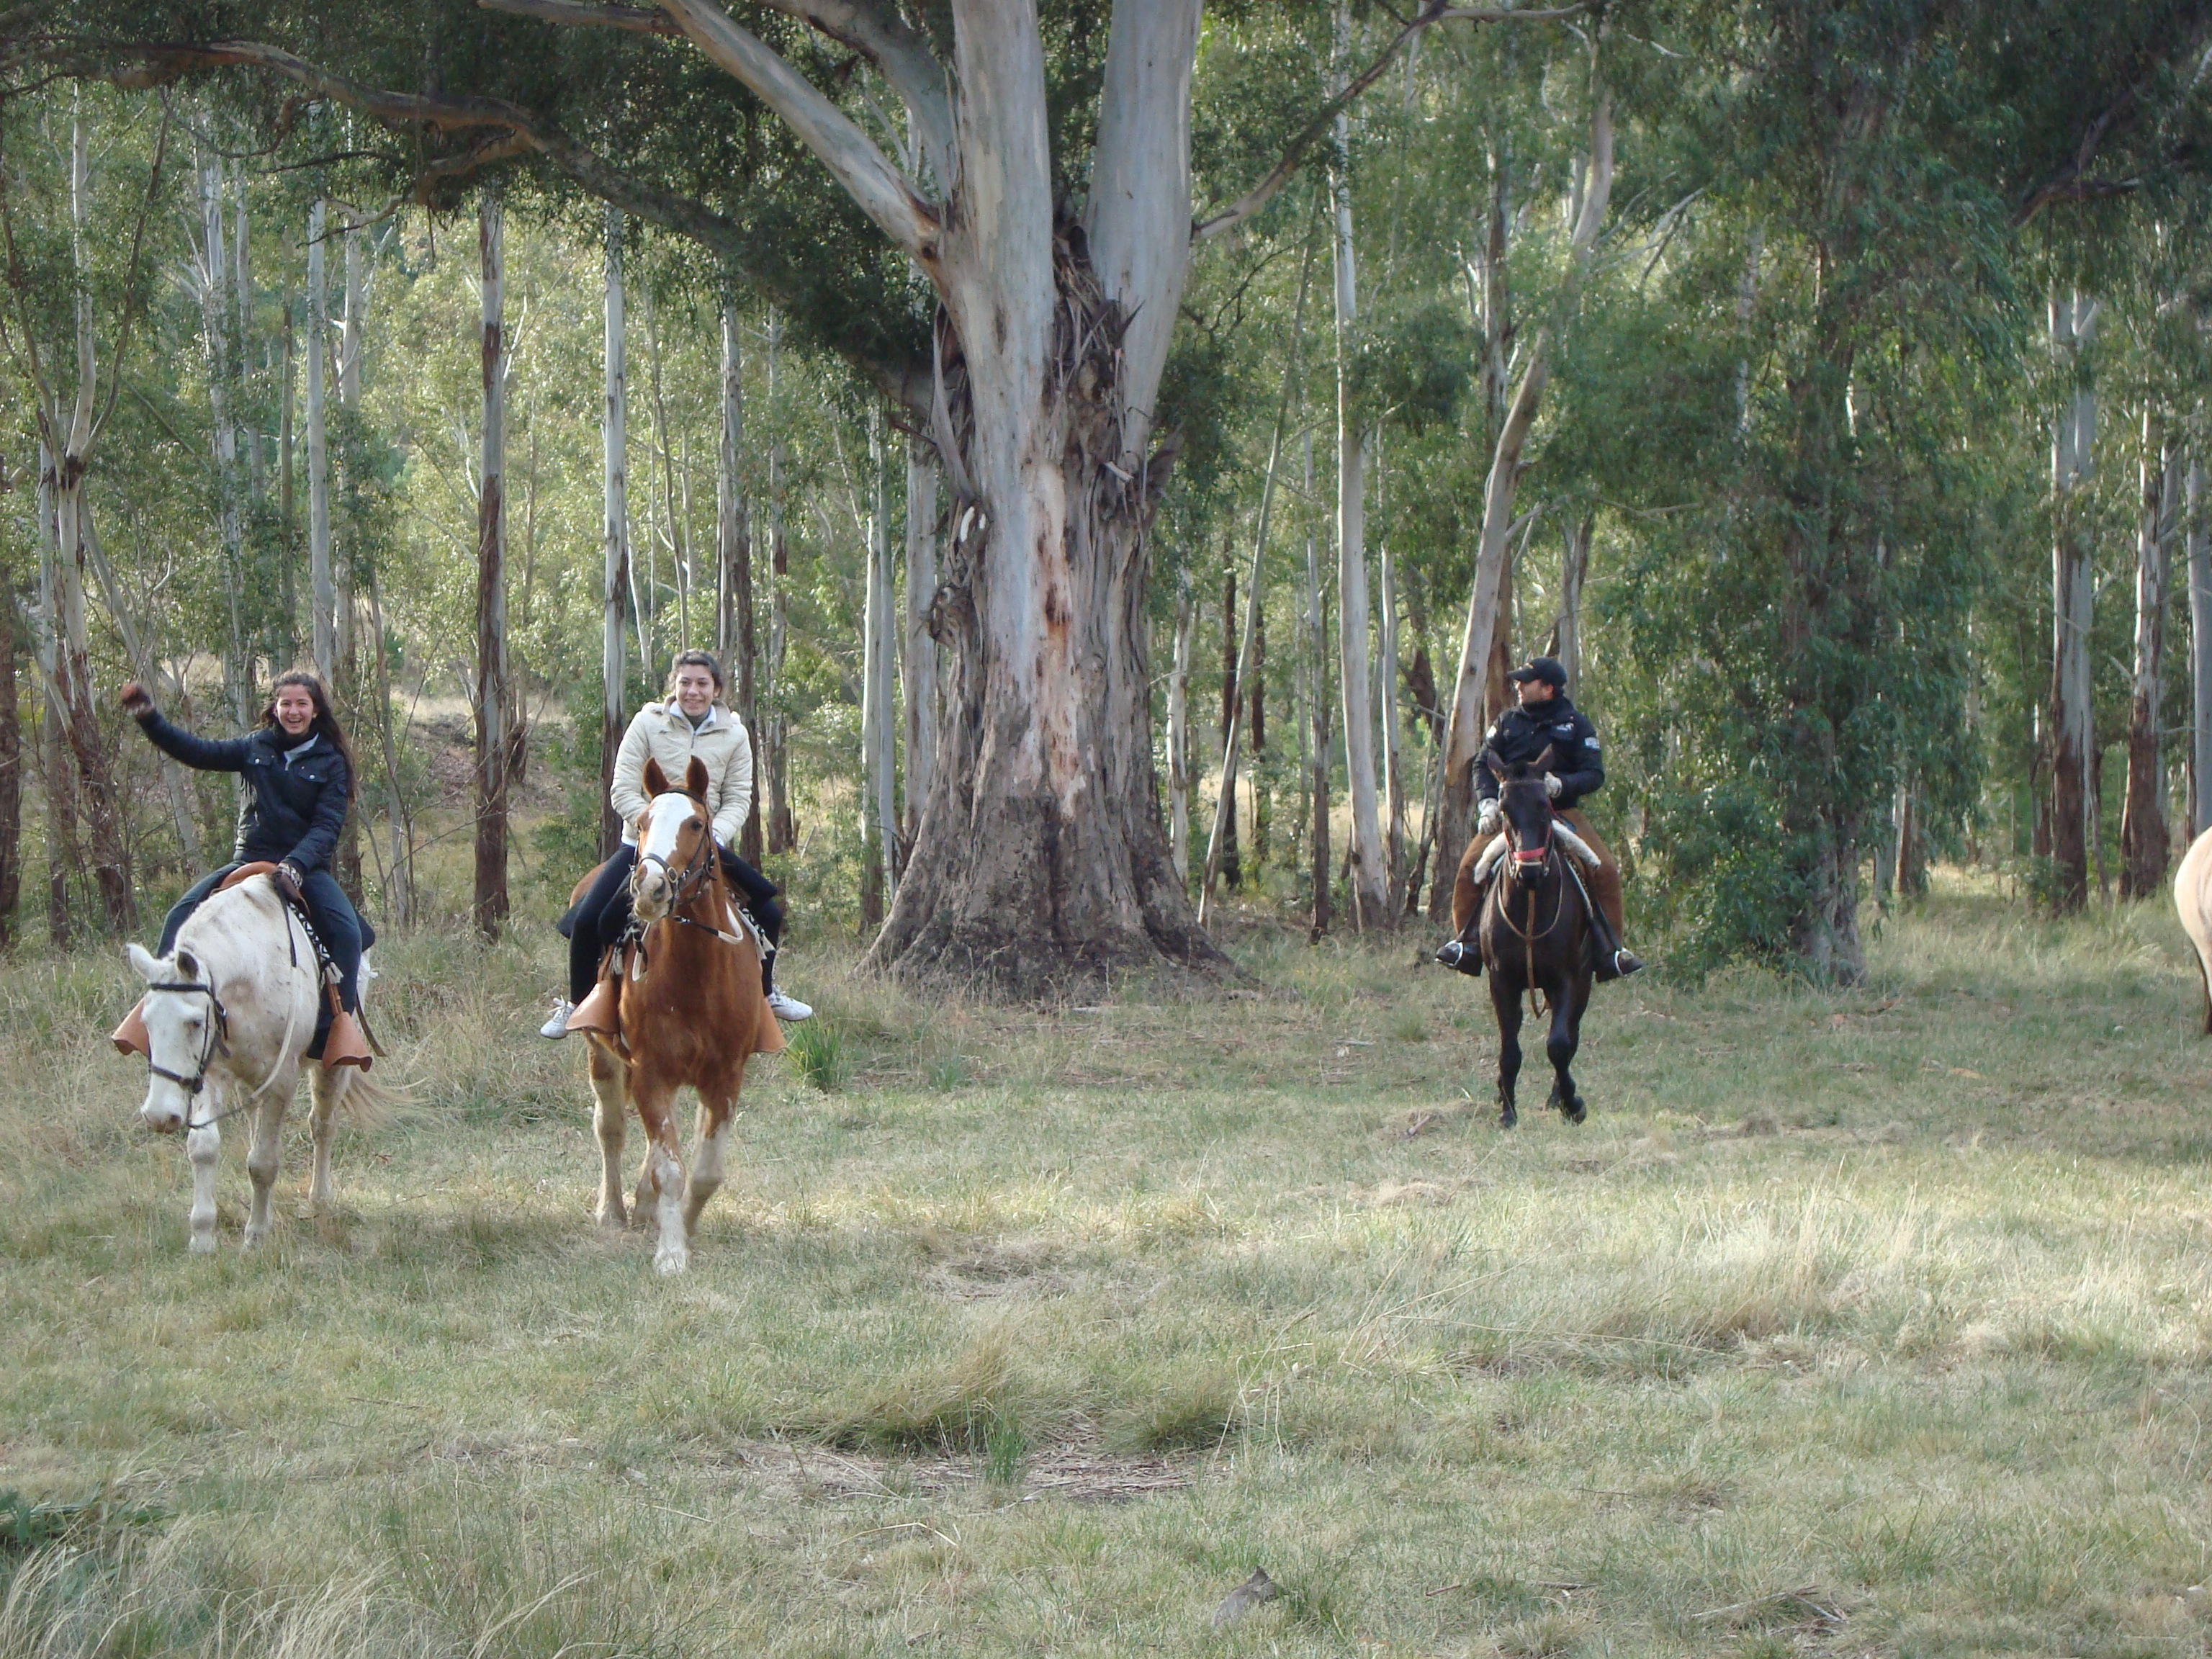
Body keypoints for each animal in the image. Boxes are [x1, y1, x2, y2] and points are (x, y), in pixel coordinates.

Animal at [119, 873, 387, 1253]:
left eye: (195, 1023)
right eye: (146, 1022)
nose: (159, 1116)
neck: (251, 974)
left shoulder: (281, 1081)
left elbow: (263, 1162)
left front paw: (256, 1235)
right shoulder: (210, 1073)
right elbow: (204, 1149)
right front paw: (202, 1236)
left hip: (331, 1067)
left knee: (323, 1125)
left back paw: (319, 1200)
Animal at [571, 754, 783, 1275]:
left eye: (696, 824)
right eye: (644, 822)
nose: (648, 889)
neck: (697, 978)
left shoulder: (725, 1078)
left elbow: (705, 1170)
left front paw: (683, 1226)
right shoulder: (651, 1073)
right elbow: (669, 1167)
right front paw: (671, 1252)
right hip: (602, 1057)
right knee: (611, 1129)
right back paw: (613, 1210)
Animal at [1453, 750, 1598, 1128]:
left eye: (1544, 804)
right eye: (1504, 808)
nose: (1529, 871)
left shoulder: (1568, 979)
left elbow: (1559, 1044)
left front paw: (1572, 1103)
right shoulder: (1502, 981)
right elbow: (1509, 1049)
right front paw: (1507, 1109)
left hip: (1584, 981)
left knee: (1571, 1035)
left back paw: (1559, 1097)